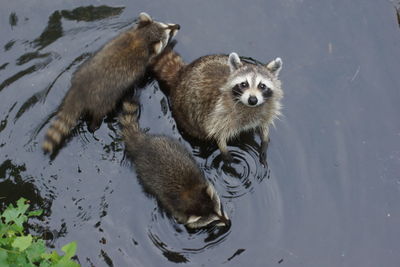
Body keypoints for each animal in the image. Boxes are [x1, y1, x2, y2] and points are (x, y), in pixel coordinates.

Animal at [42, 12, 180, 155]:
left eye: (166, 25)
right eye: (169, 33)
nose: (178, 26)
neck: (141, 38)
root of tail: (80, 91)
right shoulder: (142, 64)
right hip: (103, 101)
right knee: (98, 116)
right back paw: (94, 125)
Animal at [119, 100, 228, 230]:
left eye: (220, 209)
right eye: (213, 222)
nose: (229, 224)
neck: (190, 193)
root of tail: (142, 143)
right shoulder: (176, 210)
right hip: (144, 172)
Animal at [152, 49, 282, 164]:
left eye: (262, 85)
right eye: (244, 84)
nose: (253, 100)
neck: (248, 107)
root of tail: (182, 73)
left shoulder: (267, 109)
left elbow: (264, 126)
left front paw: (265, 142)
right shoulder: (220, 113)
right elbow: (219, 135)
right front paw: (225, 152)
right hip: (184, 115)